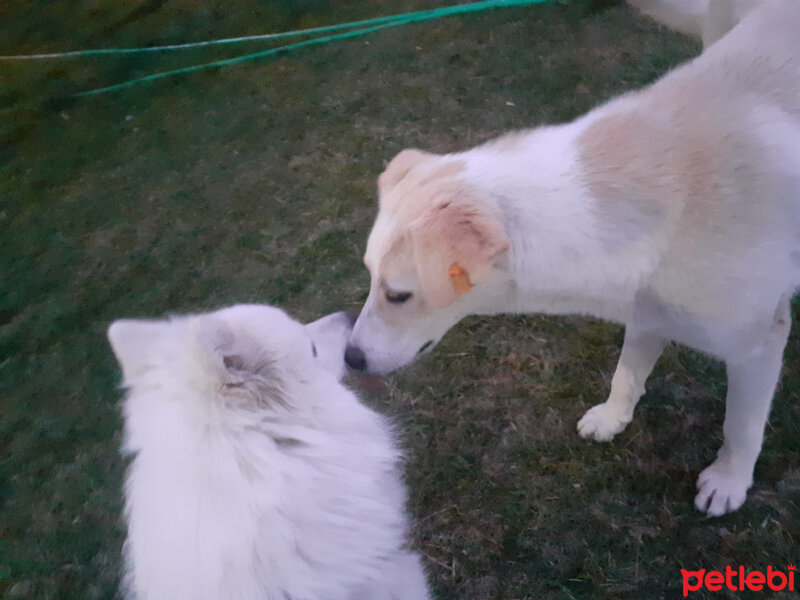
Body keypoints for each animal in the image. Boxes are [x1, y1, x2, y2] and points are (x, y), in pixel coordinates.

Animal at [348, 0, 800, 516]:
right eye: (371, 279)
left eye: (399, 295)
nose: (350, 358)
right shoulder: (649, 310)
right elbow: (628, 373)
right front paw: (612, 418)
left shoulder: (759, 342)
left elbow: (740, 425)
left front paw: (729, 480)